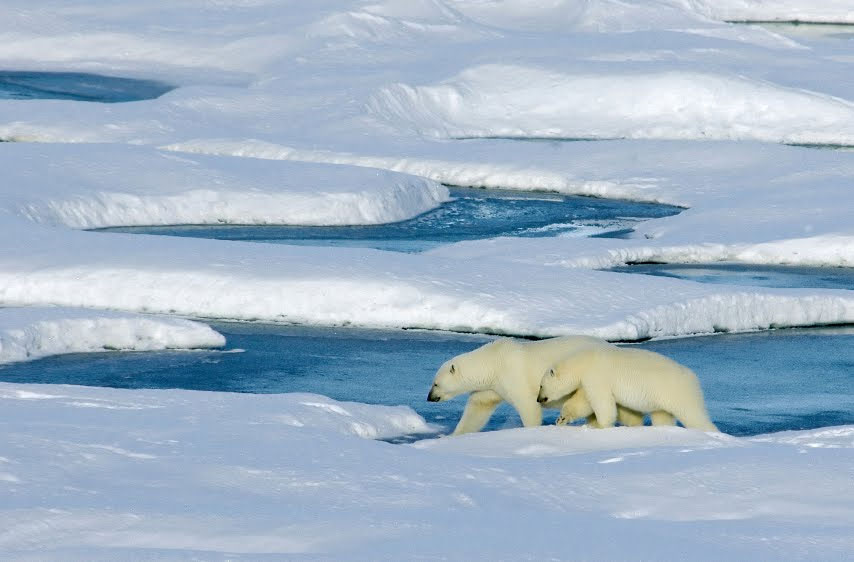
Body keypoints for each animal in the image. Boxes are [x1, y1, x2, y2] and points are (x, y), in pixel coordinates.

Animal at [424, 332, 644, 434]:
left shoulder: (513, 375)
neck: (493, 362)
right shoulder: (492, 386)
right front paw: (453, 435)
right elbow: (477, 408)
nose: (429, 397)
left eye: (435, 383)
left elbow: (528, 405)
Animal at [540, 346, 720, 428]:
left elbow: (602, 403)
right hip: (661, 401)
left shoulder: (596, 377)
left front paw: (600, 425)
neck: (584, 361)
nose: (538, 399)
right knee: (662, 417)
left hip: (676, 391)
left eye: (541, 385)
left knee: (693, 414)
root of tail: (692, 377)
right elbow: (582, 402)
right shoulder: (586, 382)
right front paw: (561, 419)